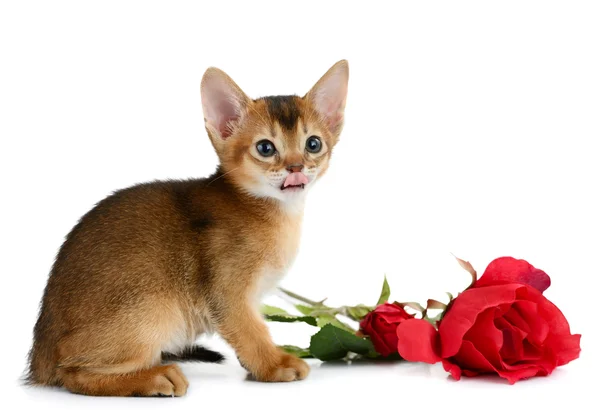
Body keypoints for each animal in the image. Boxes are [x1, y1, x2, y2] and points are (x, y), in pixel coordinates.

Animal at [25, 59, 350, 396]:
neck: (269, 211)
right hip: (154, 310)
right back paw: (155, 377)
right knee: (73, 374)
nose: (296, 167)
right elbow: (251, 331)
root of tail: (40, 356)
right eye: (265, 147)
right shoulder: (227, 293)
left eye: (313, 144)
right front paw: (274, 365)